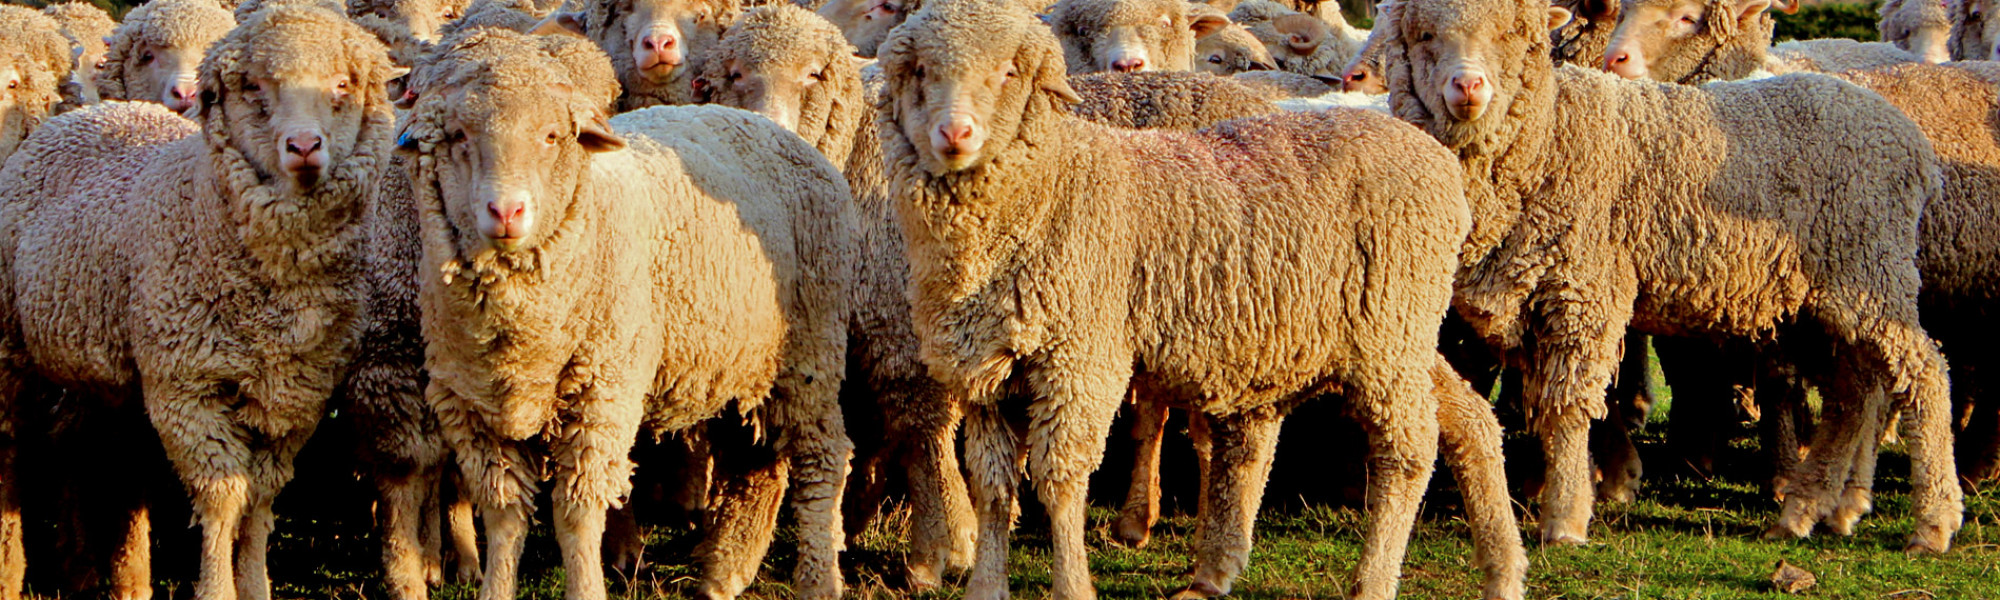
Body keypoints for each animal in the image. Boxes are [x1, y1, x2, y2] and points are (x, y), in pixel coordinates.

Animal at [396, 27, 858, 600]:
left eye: (553, 136)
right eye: (458, 135)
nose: (506, 211)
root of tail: (776, 130)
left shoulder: (602, 394)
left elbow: (576, 514)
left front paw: (586, 589)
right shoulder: (476, 408)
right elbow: (503, 516)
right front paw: (496, 589)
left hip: (812, 348)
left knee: (822, 461)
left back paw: (819, 577)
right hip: (741, 356)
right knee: (753, 462)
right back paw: (725, 572)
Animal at [874, 2, 1526, 599]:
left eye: (1009, 72)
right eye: (922, 70)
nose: (955, 134)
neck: (1052, 181)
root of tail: (1432, 154)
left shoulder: (1079, 360)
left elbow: (1060, 480)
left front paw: (1072, 586)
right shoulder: (983, 371)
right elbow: (991, 485)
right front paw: (986, 587)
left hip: (1390, 331)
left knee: (1408, 451)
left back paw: (1373, 580)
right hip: (1389, 330)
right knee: (1468, 416)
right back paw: (1501, 568)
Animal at [1382, 0, 1962, 553]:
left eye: (1511, 35)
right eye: (1424, 36)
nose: (1468, 87)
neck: (1546, 134)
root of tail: (1910, 140)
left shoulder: (1583, 286)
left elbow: (1567, 410)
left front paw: (1565, 517)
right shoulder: (1531, 299)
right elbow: (1543, 402)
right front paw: (1564, 489)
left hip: (1870, 270)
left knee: (1925, 373)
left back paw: (1932, 522)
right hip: (1819, 298)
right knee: (1853, 395)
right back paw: (1803, 510)